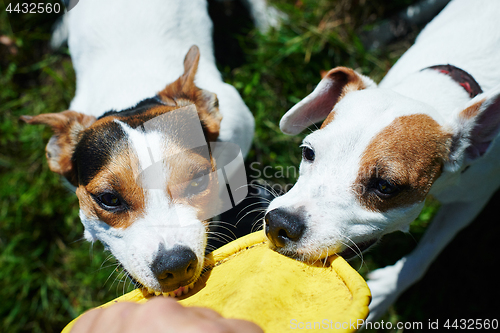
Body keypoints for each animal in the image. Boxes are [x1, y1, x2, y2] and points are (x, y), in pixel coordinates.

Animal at [266, 0, 500, 322]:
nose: (280, 223)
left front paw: (386, 291)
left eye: (385, 186)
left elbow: (427, 251)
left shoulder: (472, 198)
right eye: (308, 152)